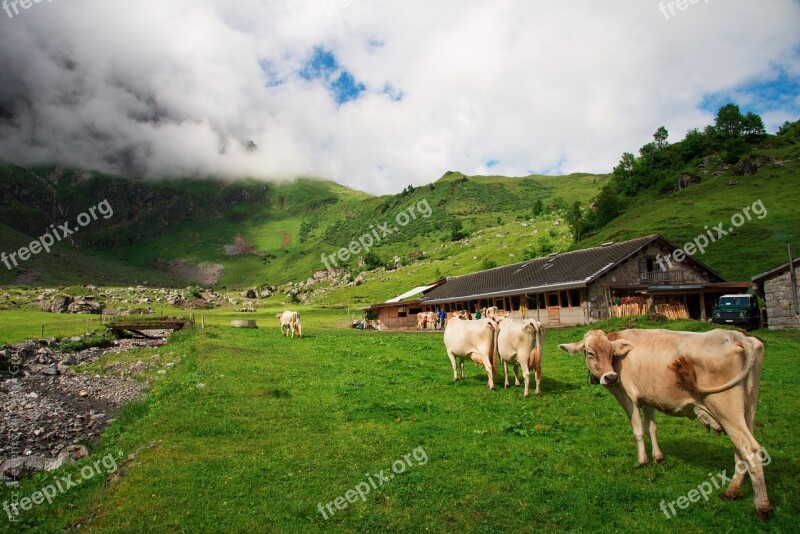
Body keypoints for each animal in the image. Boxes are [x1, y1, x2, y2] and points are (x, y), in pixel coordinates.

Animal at [556, 328, 768, 520]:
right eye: (590, 352)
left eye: (610, 352)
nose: (611, 377)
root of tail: (735, 335)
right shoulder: (649, 398)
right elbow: (652, 428)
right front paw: (657, 457)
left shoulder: (629, 399)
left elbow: (638, 430)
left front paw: (642, 460)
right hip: (748, 409)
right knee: (741, 450)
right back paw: (732, 492)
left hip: (725, 408)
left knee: (750, 449)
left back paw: (761, 507)